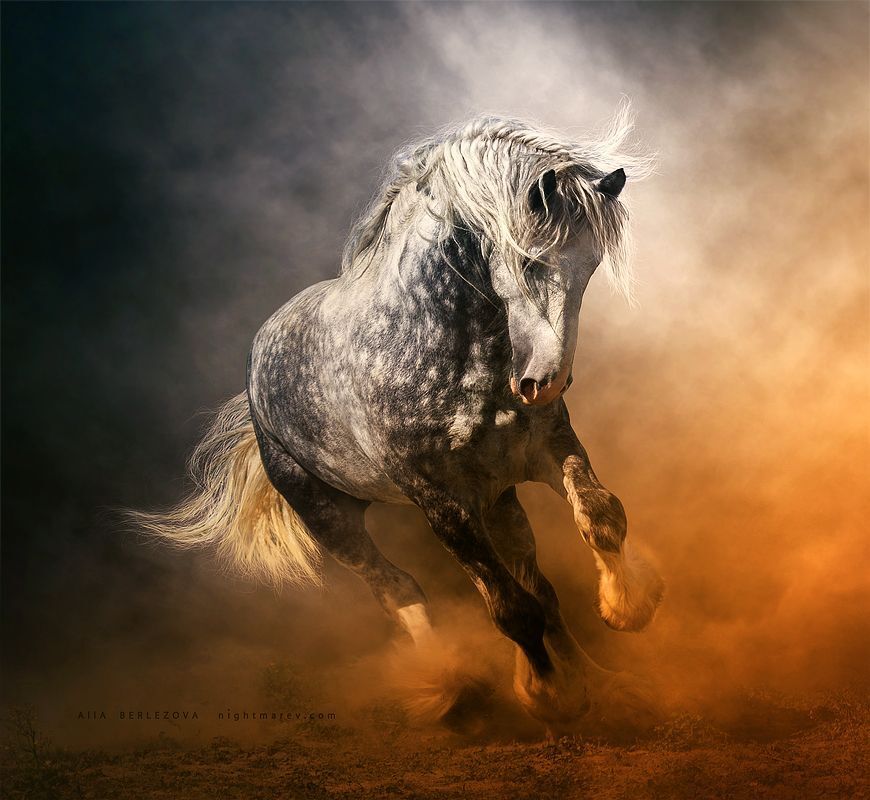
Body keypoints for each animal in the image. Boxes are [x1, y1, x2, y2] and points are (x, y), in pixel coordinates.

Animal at [132, 112, 664, 736]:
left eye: (591, 267)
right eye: (530, 261)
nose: (543, 384)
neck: (444, 346)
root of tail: (257, 369)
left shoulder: (545, 452)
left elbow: (600, 520)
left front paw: (625, 612)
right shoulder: (440, 501)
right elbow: (511, 609)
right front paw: (548, 696)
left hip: (499, 500)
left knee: (537, 584)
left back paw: (593, 682)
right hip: (330, 518)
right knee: (397, 589)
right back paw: (447, 688)